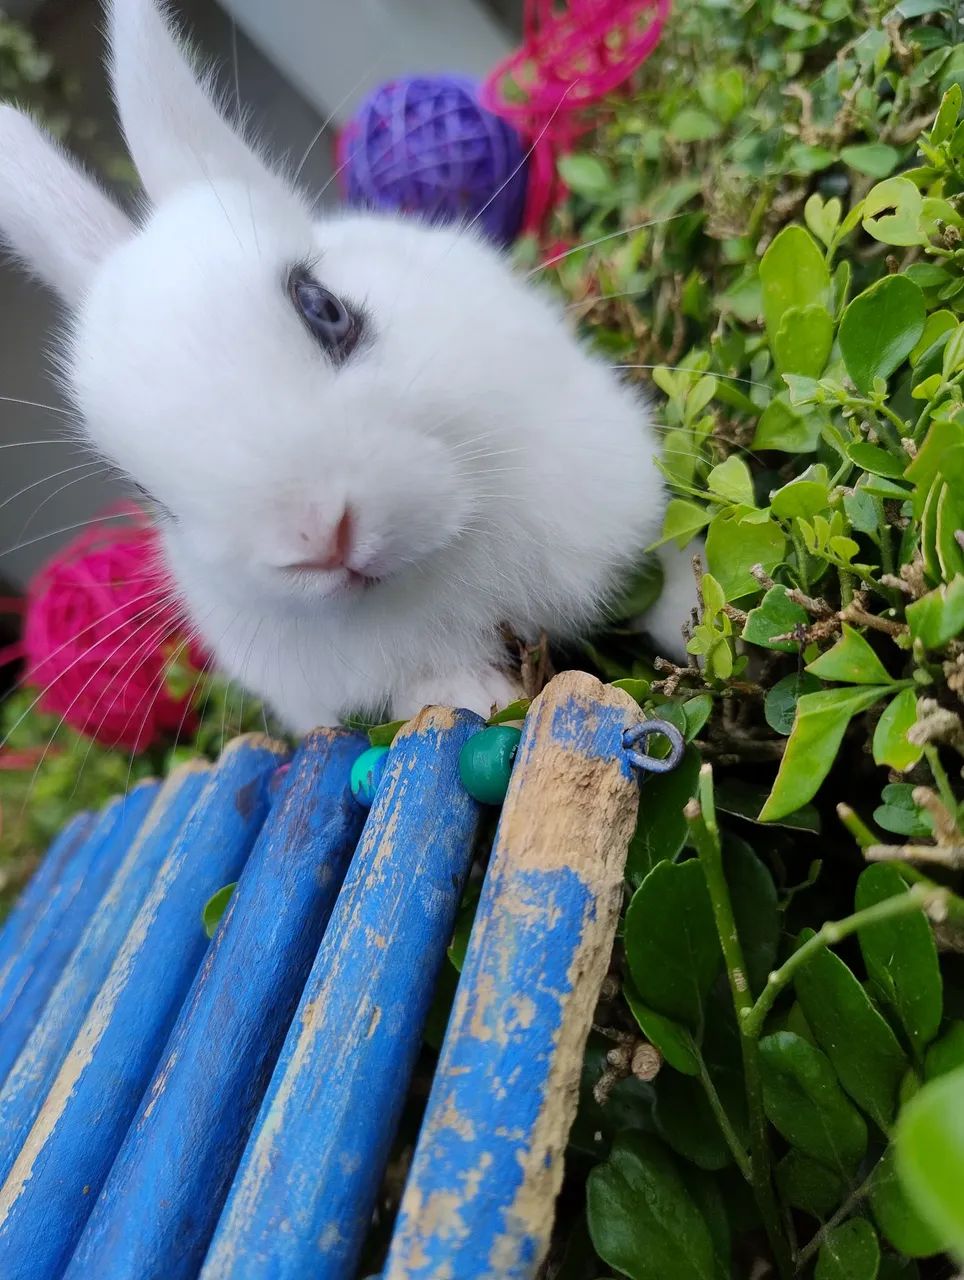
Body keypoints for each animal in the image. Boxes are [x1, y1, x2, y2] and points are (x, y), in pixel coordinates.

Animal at [0, 0, 697, 733]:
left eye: (324, 308)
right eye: (146, 493)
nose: (318, 541)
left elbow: (662, 563)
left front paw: (695, 608)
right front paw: (478, 698)